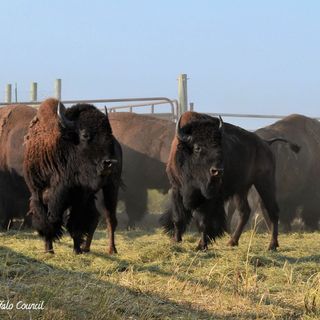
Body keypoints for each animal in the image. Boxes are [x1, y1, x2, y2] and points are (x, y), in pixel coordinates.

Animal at [22, 99, 122, 254]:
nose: (109, 163)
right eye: (85, 135)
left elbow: (75, 224)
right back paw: (87, 248)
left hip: (111, 187)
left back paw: (112, 250)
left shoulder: (79, 197)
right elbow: (47, 223)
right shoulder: (38, 194)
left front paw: (76, 250)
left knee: (110, 218)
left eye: (108, 134)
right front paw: (49, 250)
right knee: (96, 217)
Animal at [160, 111, 300, 251]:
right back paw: (232, 241)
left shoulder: (210, 195)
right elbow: (178, 217)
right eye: (197, 148)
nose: (217, 170)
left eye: (219, 146)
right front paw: (176, 241)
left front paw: (201, 245)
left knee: (272, 210)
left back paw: (272, 245)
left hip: (264, 182)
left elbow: (203, 221)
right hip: (242, 189)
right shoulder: (176, 189)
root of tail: (265, 143)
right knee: (245, 211)